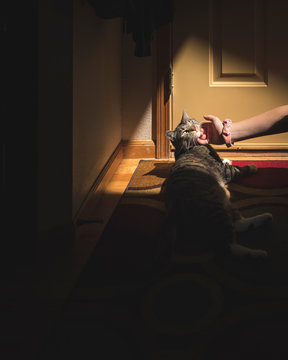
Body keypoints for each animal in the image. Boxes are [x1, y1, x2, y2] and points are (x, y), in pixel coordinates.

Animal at [162, 109, 272, 258]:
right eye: (185, 131)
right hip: (213, 207)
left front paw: (226, 159)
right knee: (228, 246)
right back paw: (258, 253)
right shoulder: (226, 172)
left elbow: (224, 160)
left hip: (225, 200)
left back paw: (265, 217)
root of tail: (173, 211)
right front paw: (252, 167)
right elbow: (237, 169)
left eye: (192, 122)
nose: (194, 128)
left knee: (239, 224)